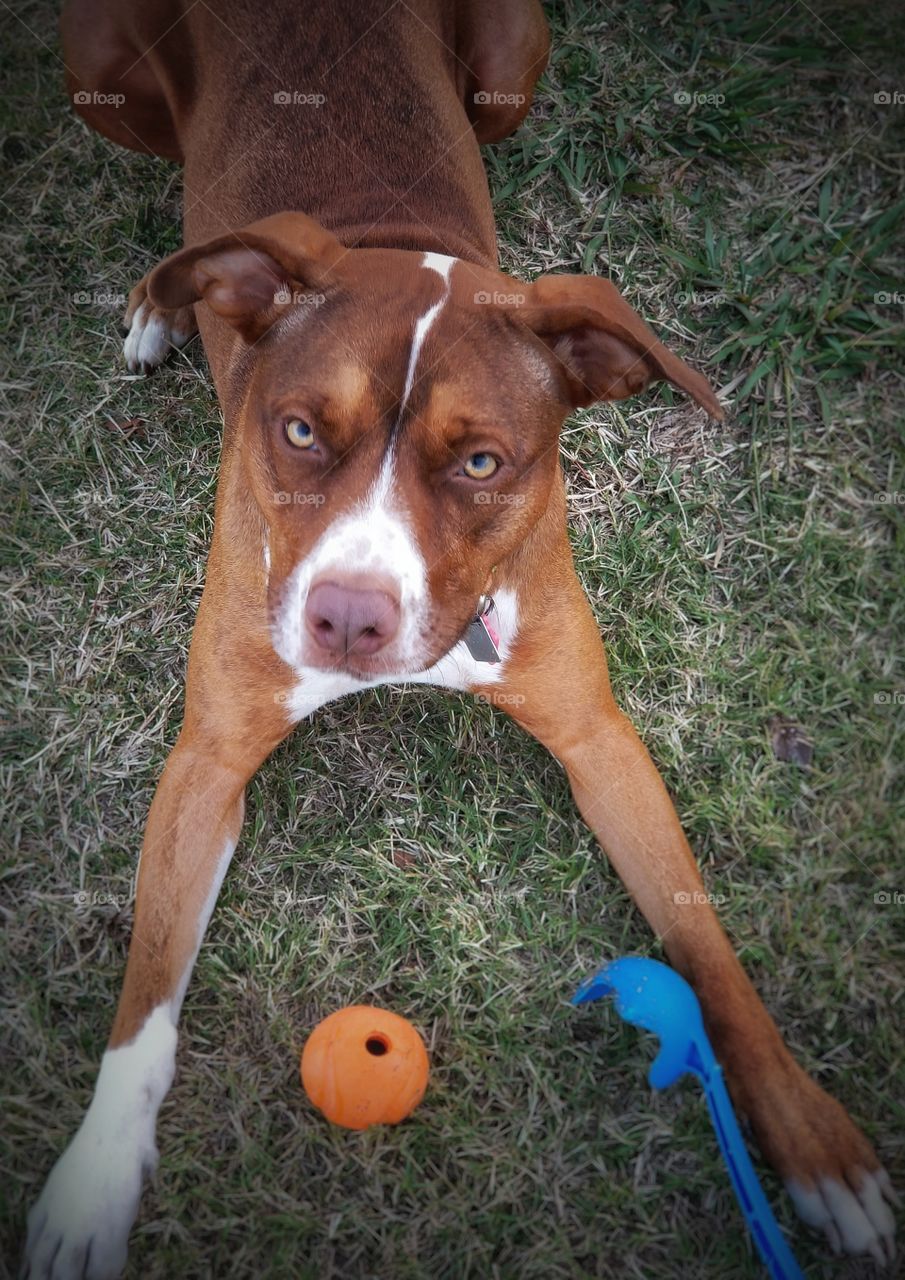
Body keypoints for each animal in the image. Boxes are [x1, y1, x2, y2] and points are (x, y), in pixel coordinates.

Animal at [23, 0, 901, 1274]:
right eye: (297, 430)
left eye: (482, 460)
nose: (348, 618)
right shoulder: (208, 758)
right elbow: (144, 991)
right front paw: (91, 1184)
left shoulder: (596, 737)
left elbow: (707, 954)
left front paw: (814, 1143)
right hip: (95, 68)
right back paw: (157, 301)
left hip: (508, 64)